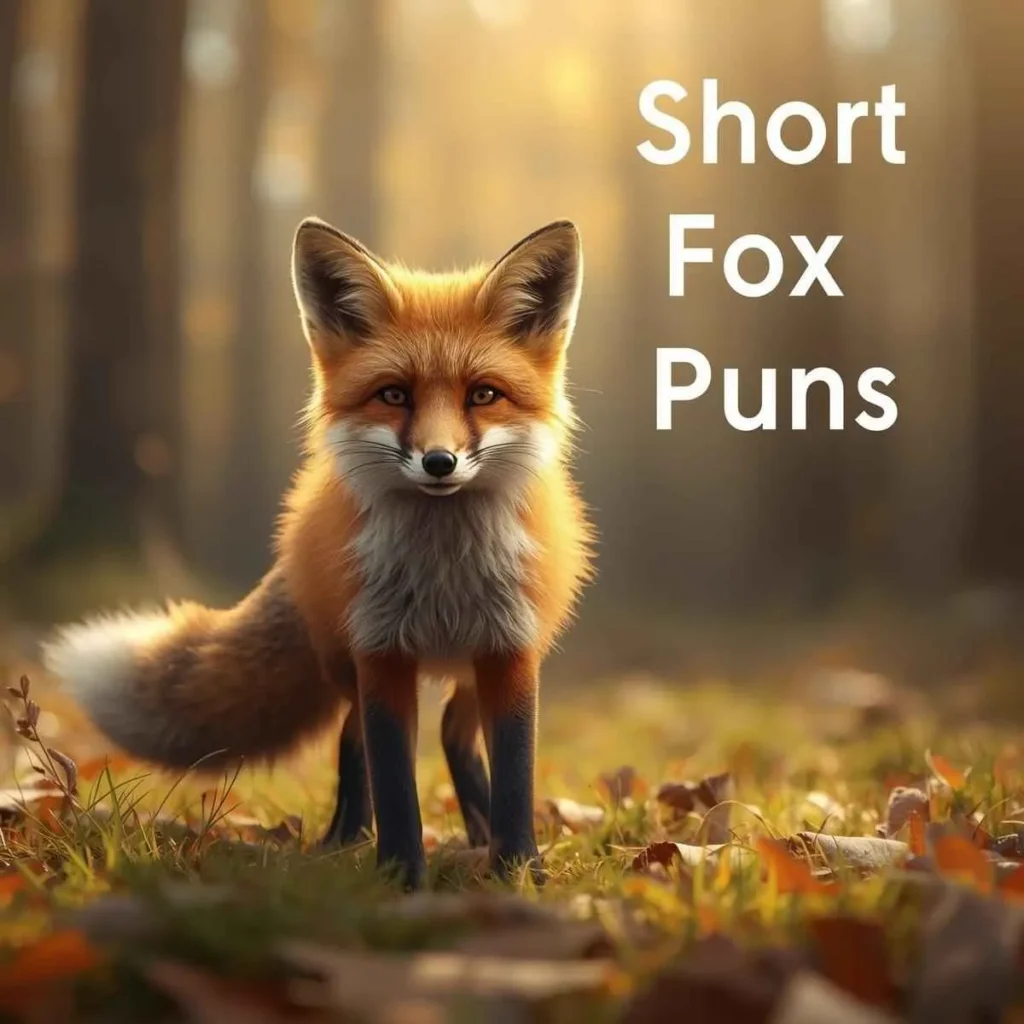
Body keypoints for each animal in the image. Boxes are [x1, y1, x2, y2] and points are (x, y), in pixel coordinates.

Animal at [42, 217, 594, 888]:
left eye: (483, 395)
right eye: (394, 395)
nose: (439, 461)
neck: (442, 572)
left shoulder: (511, 652)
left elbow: (516, 776)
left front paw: (519, 871)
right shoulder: (380, 652)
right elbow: (392, 780)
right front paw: (401, 879)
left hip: (474, 664)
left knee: (453, 735)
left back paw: (477, 836)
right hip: (344, 663)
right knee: (355, 742)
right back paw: (345, 841)